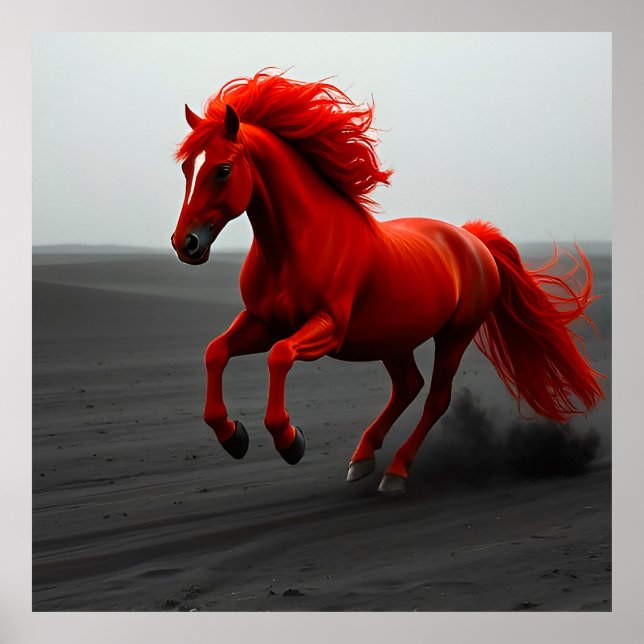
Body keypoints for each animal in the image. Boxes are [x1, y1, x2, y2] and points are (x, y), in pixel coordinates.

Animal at [171, 69, 603, 494]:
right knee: (408, 385)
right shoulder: (262, 321)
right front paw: (234, 437)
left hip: (455, 334)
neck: (298, 246)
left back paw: (395, 472)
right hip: (393, 338)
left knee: (436, 398)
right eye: (186, 168)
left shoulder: (329, 328)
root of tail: (472, 239)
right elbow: (215, 352)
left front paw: (290, 441)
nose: (185, 243)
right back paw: (362, 458)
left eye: (223, 170)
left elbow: (279, 356)